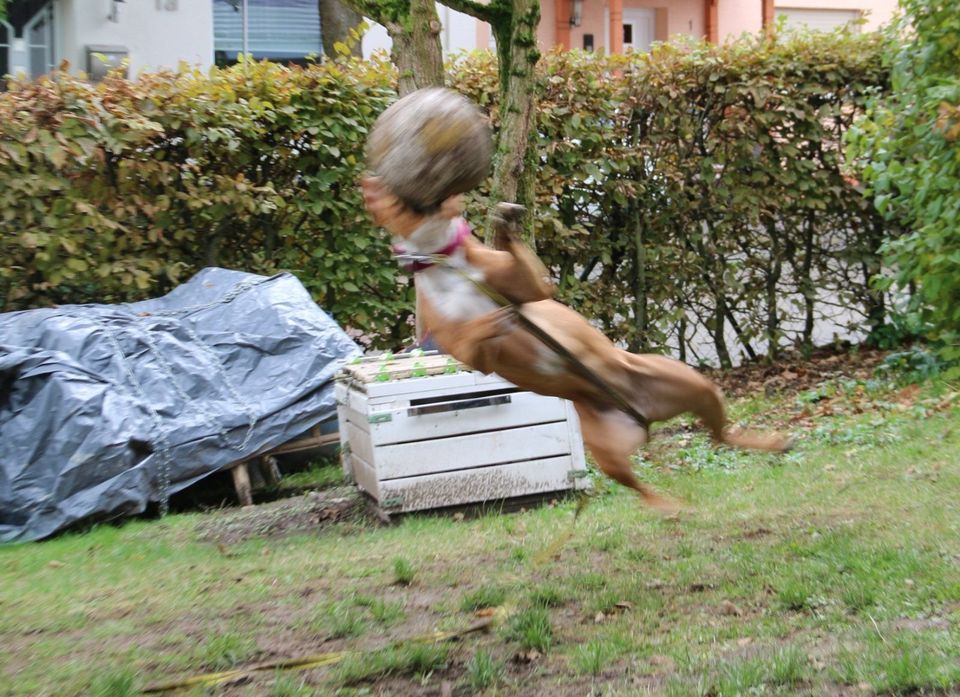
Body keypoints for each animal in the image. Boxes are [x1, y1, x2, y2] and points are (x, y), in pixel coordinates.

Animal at [364, 179, 792, 512]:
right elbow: (476, 334)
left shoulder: (529, 286)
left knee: (721, 436)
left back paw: (773, 443)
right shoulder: (467, 349)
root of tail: (643, 419)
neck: (445, 264)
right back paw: (673, 506)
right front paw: (494, 321)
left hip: (695, 386)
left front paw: (505, 222)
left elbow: (519, 273)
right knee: (659, 478)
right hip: (608, 451)